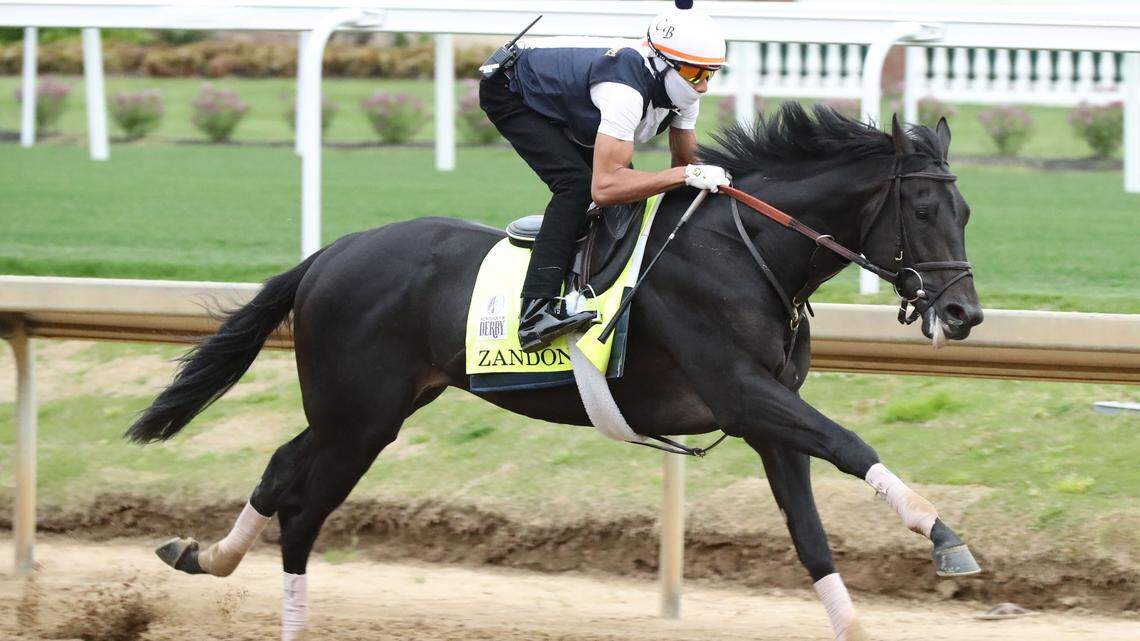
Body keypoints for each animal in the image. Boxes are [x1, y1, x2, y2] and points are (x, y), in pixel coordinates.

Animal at [128, 103, 983, 641]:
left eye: (966, 211)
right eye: (926, 211)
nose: (964, 314)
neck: (745, 252)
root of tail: (331, 252)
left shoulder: (768, 422)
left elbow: (811, 536)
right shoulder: (745, 395)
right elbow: (850, 443)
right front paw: (944, 535)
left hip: (365, 408)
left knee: (279, 470)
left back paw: (204, 554)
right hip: (360, 418)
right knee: (303, 512)